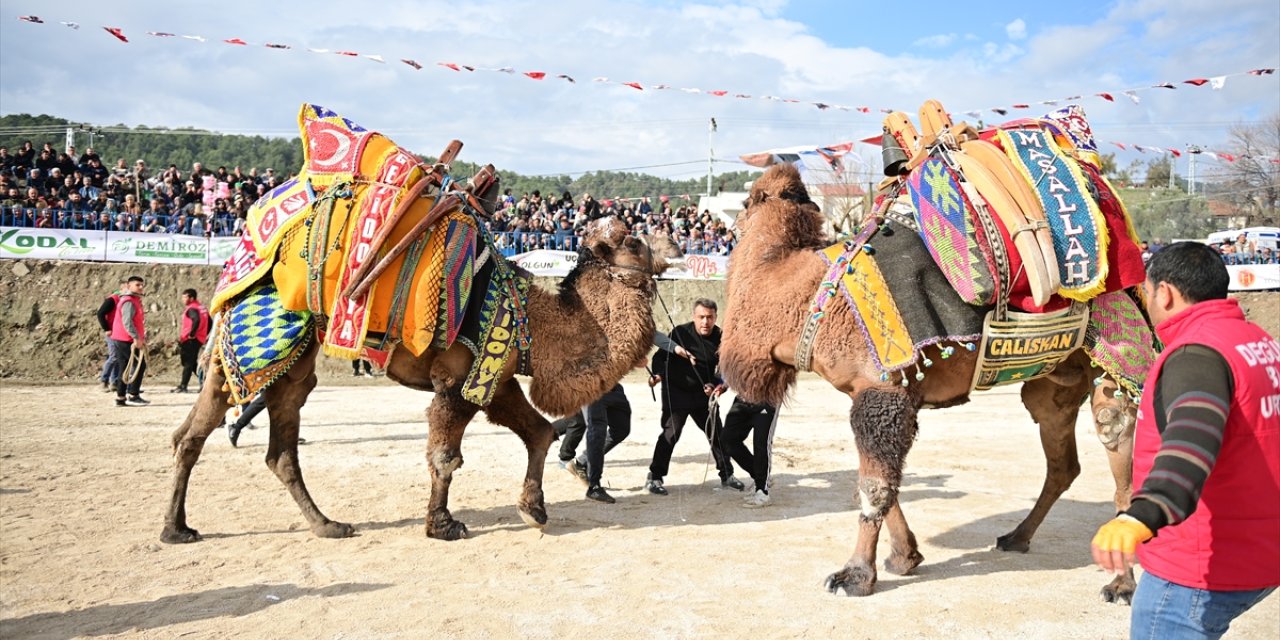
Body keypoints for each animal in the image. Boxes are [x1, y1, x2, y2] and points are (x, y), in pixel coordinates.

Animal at [161, 217, 680, 542]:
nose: (675, 245)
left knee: (255, 445)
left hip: (279, 362)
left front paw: (534, 509)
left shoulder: (495, 378)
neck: (533, 321)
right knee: (214, 430)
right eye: (635, 241)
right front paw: (442, 525)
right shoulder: (457, 378)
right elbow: (446, 457)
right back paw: (183, 528)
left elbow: (538, 433)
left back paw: (316, 525)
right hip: (259, 346)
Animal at [721, 165, 1141, 599]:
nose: (730, 227)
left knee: (1117, 441)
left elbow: (874, 487)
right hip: (1053, 382)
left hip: (1113, 356)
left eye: (743, 205)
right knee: (1062, 462)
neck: (808, 296)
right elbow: (881, 483)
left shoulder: (881, 391)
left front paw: (854, 575)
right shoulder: (877, 396)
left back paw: (1121, 584)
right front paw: (905, 556)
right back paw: (1016, 537)